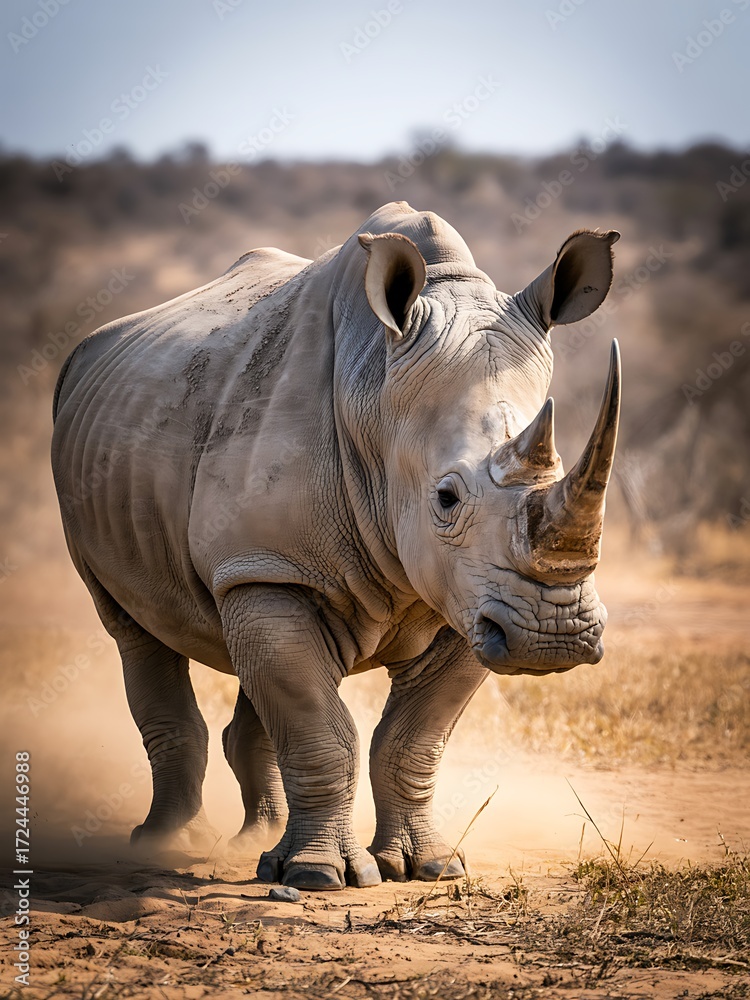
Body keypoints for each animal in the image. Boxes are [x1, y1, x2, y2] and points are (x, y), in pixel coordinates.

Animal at [51, 202, 621, 891]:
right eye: (446, 498)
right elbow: (320, 729)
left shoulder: (472, 597)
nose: (553, 637)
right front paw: (318, 876)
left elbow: (411, 736)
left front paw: (429, 867)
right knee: (134, 630)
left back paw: (255, 841)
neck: (373, 393)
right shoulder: (274, 566)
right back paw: (169, 846)